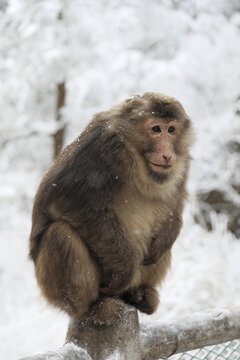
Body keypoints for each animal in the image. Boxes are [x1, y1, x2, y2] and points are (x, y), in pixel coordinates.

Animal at [29, 91, 194, 324]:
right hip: (56, 288)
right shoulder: (104, 147)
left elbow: (175, 206)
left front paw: (168, 234)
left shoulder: (183, 160)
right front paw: (124, 270)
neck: (136, 152)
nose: (167, 154)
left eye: (171, 130)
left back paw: (140, 295)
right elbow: (72, 200)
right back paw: (92, 309)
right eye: (155, 129)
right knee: (60, 233)